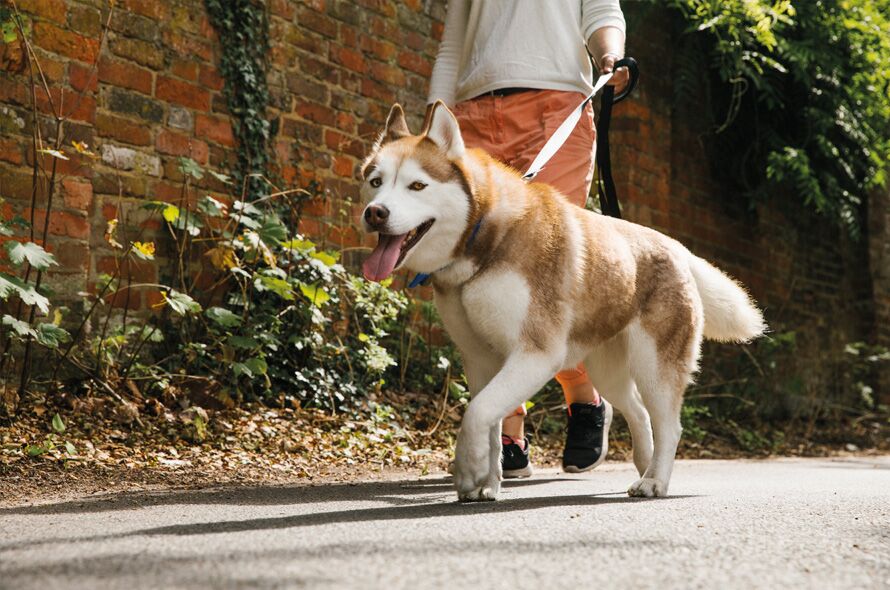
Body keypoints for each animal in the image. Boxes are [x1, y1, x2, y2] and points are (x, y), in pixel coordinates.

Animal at [358, 103, 760, 504]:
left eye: (417, 185)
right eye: (376, 181)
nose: (375, 212)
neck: (483, 239)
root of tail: (675, 246)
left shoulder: (537, 354)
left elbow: (477, 412)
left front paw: (469, 470)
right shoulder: (480, 359)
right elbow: (489, 420)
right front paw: (488, 482)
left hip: (654, 367)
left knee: (670, 425)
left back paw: (655, 481)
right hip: (608, 370)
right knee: (638, 412)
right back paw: (645, 465)